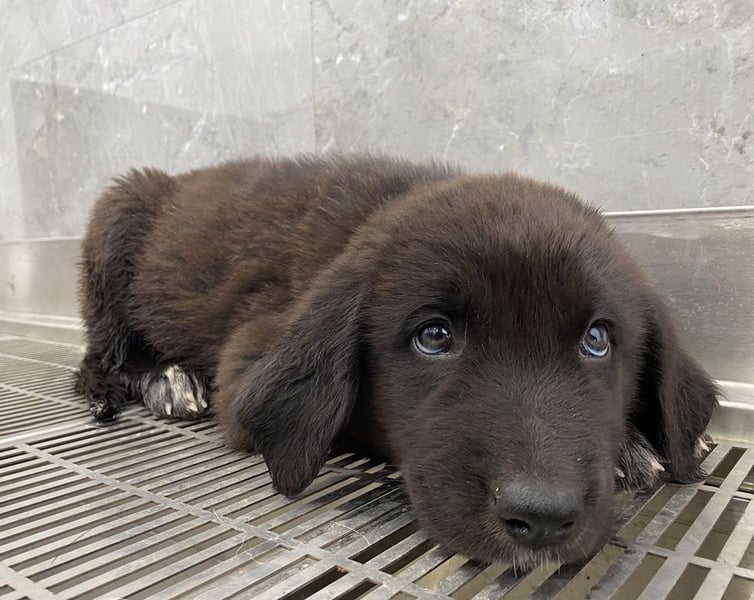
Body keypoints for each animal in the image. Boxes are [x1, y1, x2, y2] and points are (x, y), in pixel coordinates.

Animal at [76, 155, 718, 568]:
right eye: (434, 336)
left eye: (598, 339)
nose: (540, 517)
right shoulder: (245, 358)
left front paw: (639, 441)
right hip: (115, 221)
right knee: (100, 357)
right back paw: (163, 377)